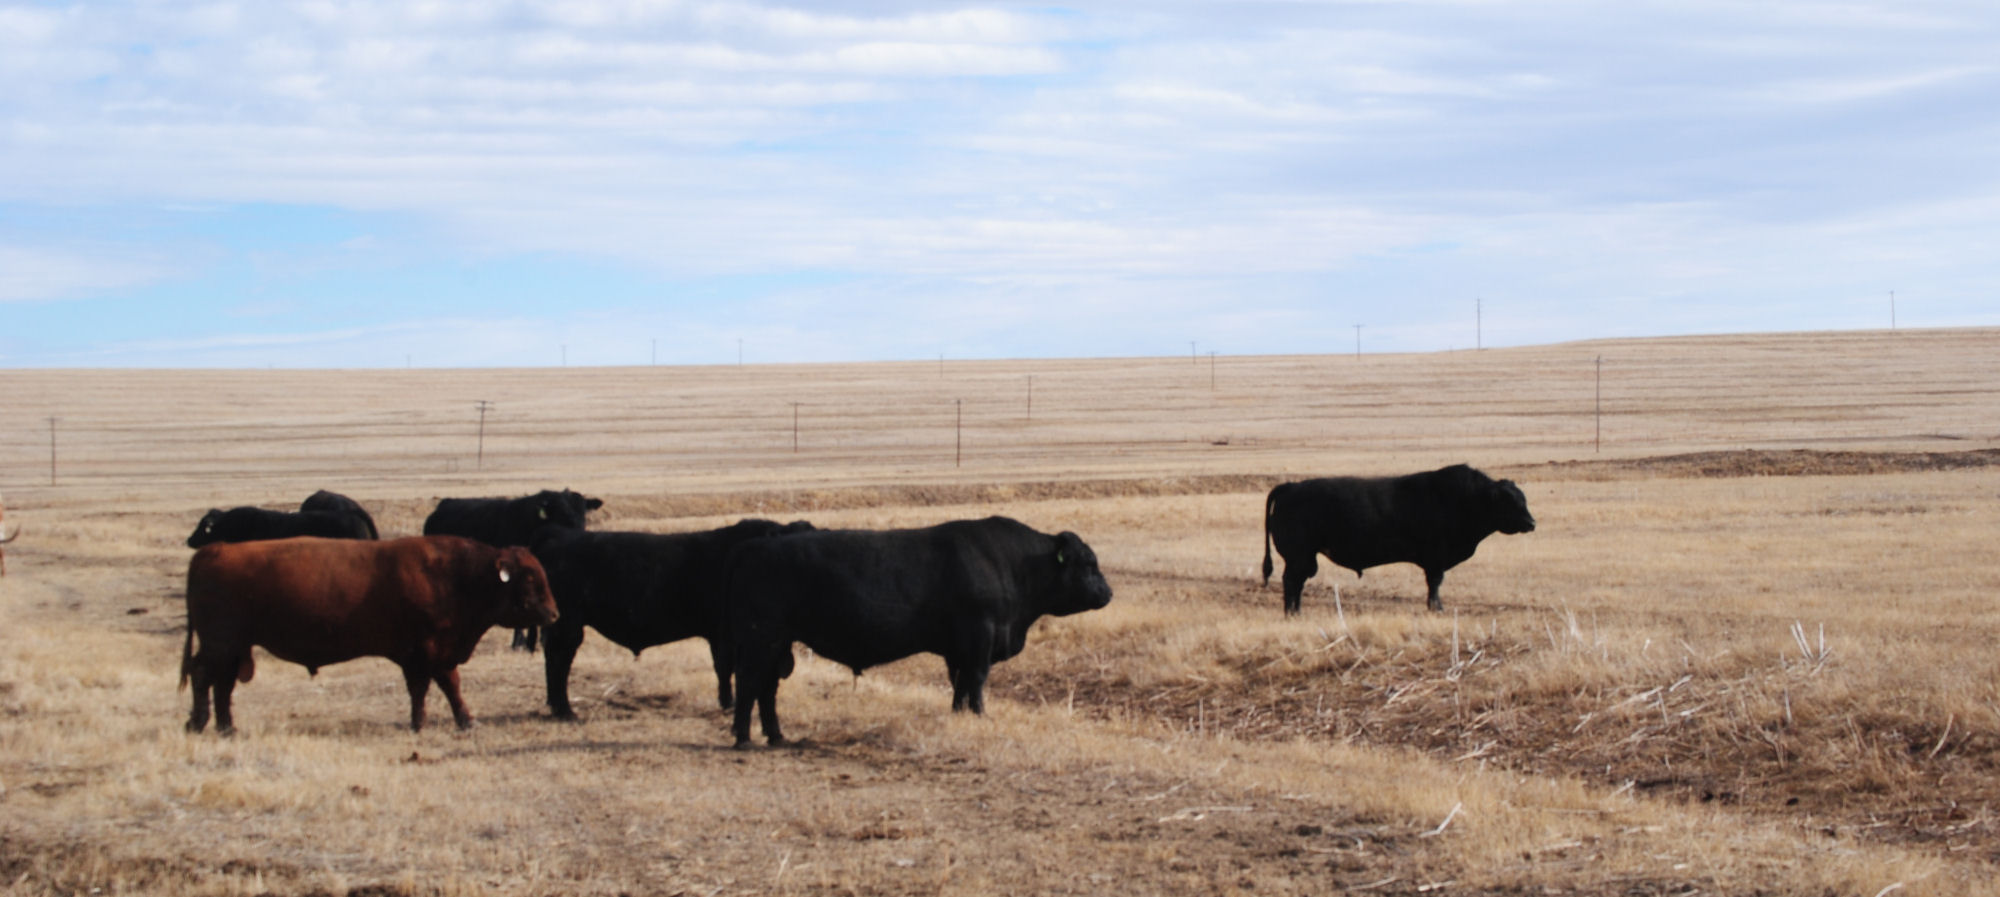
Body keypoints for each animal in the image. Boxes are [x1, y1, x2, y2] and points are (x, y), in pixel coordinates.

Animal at [180, 535, 558, 734]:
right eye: (529, 578)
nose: (554, 613)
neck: (458, 576)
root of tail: (215, 549)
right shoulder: (423, 653)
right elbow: (428, 688)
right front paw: (423, 723)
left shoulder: (436, 654)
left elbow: (448, 686)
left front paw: (464, 720)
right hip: (220, 645)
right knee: (203, 676)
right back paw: (198, 724)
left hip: (232, 649)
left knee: (222, 683)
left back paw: (226, 728)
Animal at [530, 518, 815, 719]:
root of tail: (558, 535)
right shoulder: (726, 635)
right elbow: (728, 668)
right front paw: (729, 704)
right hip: (567, 625)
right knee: (559, 661)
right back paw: (565, 710)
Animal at [725, 516, 1114, 747]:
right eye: (1088, 562)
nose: (1107, 593)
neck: (1013, 564)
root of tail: (752, 548)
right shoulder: (980, 639)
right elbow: (976, 680)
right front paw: (980, 715)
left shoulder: (958, 650)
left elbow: (959, 684)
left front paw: (959, 714)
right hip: (763, 639)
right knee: (749, 683)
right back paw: (744, 738)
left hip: (776, 644)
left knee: (766, 689)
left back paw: (776, 736)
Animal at [1261, 464, 1535, 615]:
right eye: (1510, 501)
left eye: (1523, 498)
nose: (1531, 523)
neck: (1465, 499)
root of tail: (1291, 487)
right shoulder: (1435, 559)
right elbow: (1435, 584)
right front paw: (1437, 608)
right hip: (1300, 557)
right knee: (1291, 582)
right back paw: (1293, 614)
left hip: (1304, 559)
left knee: (1295, 583)